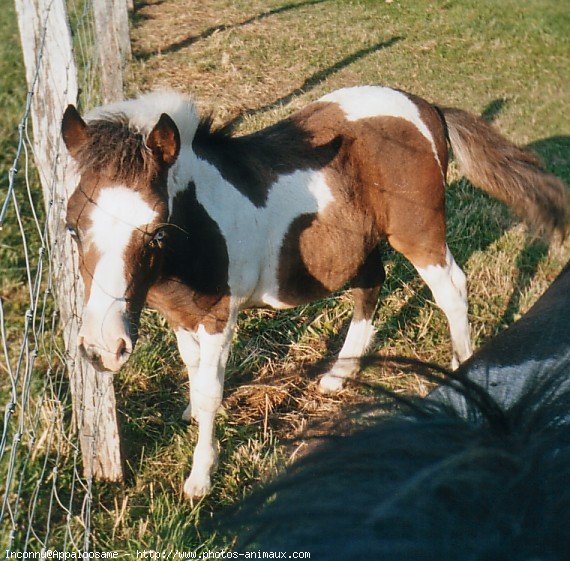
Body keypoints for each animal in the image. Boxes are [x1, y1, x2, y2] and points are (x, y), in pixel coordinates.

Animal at [60, 85, 564, 496]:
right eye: (71, 228)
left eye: (157, 232)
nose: (101, 349)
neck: (195, 230)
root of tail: (428, 109)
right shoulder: (183, 314)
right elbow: (193, 371)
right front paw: (189, 415)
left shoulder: (219, 315)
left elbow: (211, 391)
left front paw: (200, 476)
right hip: (360, 244)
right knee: (371, 288)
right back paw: (339, 375)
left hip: (419, 234)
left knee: (452, 289)